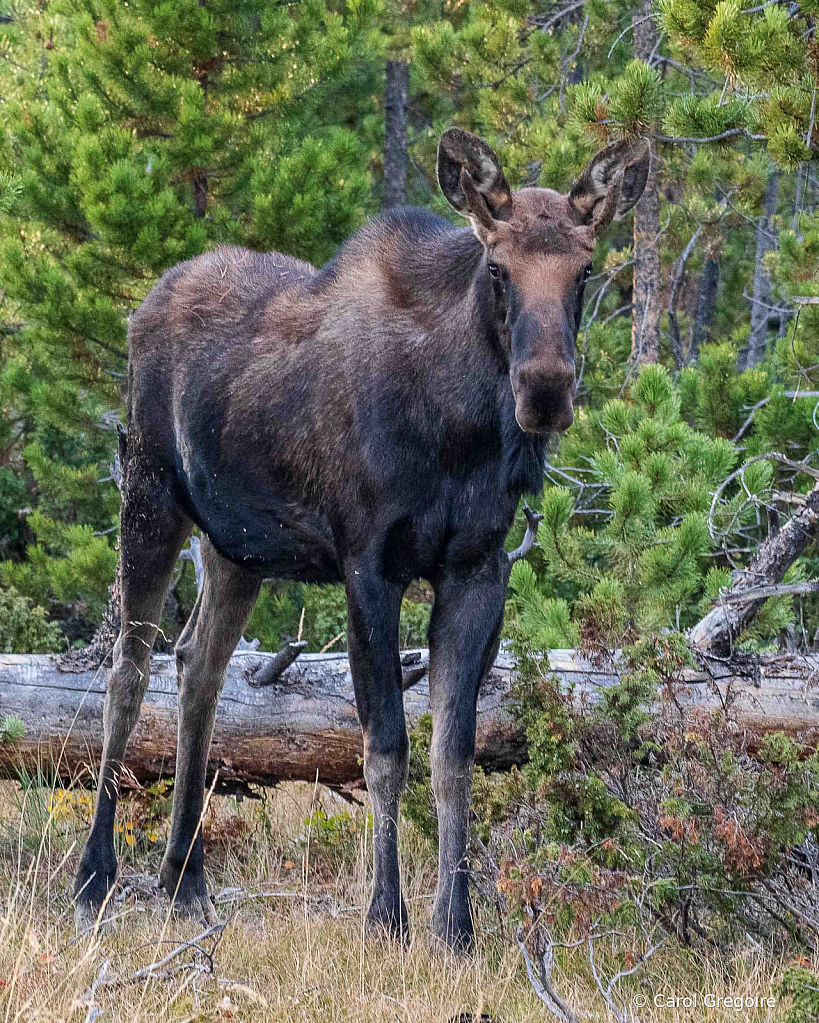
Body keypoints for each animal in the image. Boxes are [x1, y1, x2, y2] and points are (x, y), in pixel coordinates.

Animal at [73, 127, 650, 949]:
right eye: (498, 268)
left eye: (586, 268)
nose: (544, 387)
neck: (460, 430)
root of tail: (145, 302)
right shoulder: (368, 562)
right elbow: (384, 747)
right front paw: (385, 914)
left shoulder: (478, 568)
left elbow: (453, 751)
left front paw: (455, 926)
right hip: (148, 491)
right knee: (126, 672)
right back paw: (95, 875)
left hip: (235, 546)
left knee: (196, 669)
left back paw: (185, 882)